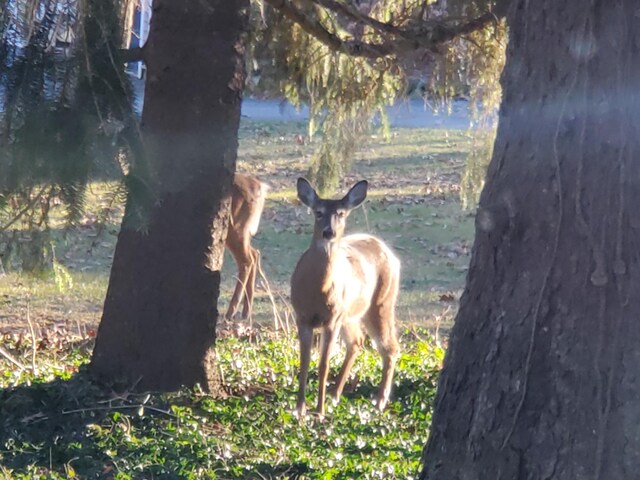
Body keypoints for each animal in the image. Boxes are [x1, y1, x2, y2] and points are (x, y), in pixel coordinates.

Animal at [224, 174, 268, 320]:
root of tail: (261, 187)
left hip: (235, 227)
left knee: (247, 260)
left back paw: (231, 312)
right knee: (254, 254)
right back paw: (246, 311)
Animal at [292, 177, 400, 416]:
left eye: (341, 214)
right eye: (318, 212)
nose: (328, 232)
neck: (316, 290)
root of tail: (390, 254)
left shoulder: (331, 319)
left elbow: (323, 364)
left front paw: (319, 411)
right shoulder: (302, 316)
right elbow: (304, 361)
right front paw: (300, 409)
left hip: (381, 302)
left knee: (390, 347)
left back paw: (379, 401)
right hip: (349, 312)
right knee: (358, 341)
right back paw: (335, 395)